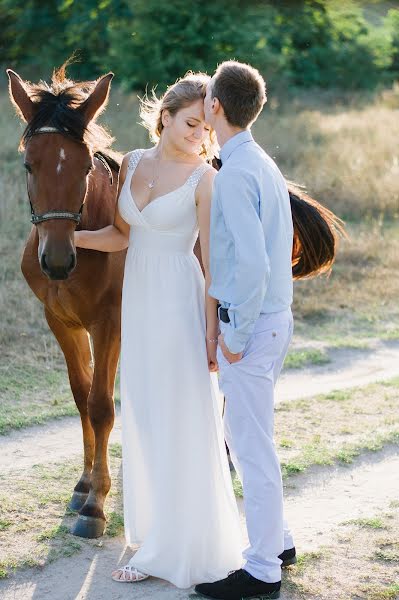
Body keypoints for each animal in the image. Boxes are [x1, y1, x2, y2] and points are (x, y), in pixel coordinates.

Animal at [6, 64, 344, 540]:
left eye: (85, 165)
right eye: (28, 164)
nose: (56, 260)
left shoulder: (110, 325)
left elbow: (101, 406)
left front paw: (96, 505)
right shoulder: (61, 322)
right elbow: (80, 397)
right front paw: (83, 484)